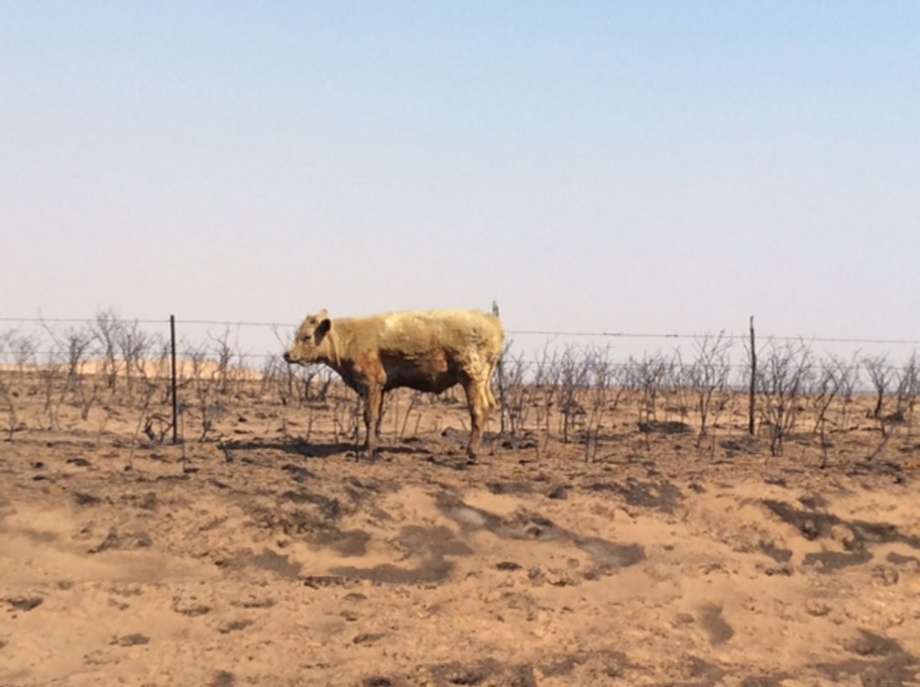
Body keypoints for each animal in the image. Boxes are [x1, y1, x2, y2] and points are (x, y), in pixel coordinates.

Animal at [284, 310, 506, 462]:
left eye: (306, 336)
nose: (287, 354)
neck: (349, 338)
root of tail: (492, 321)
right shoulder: (379, 388)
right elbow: (376, 418)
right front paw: (370, 445)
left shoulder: (371, 383)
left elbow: (370, 417)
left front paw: (367, 451)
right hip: (483, 381)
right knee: (490, 405)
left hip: (471, 378)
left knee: (478, 410)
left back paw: (472, 452)